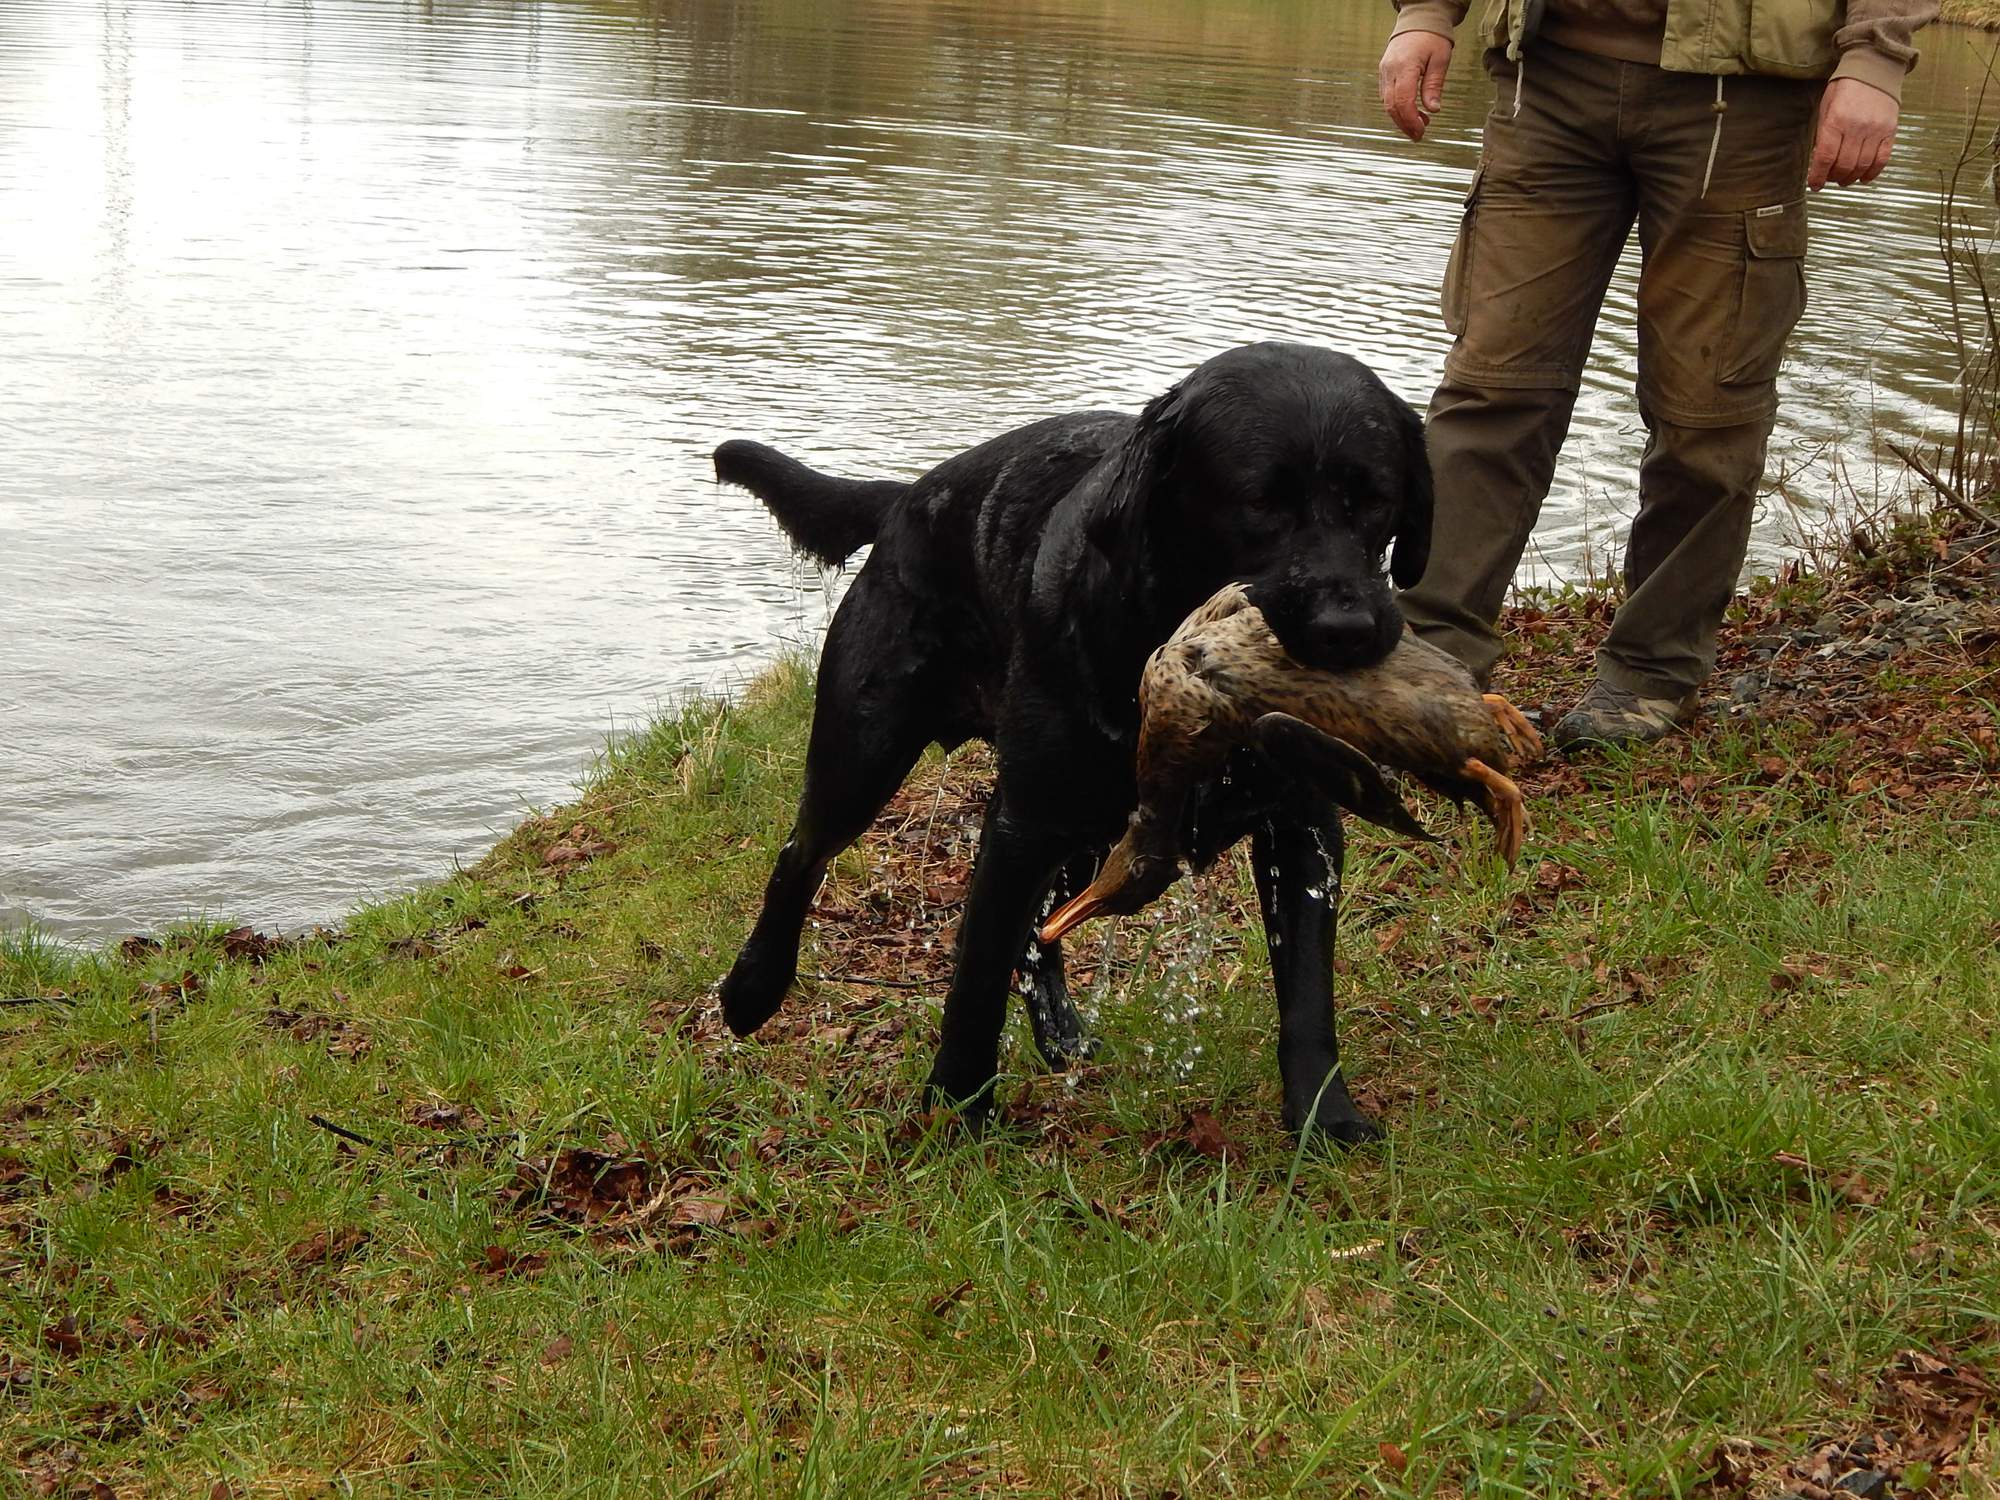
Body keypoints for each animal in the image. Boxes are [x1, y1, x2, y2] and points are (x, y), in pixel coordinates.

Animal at [712, 344, 1432, 1136]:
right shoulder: (1021, 824)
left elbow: (1307, 991)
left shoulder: (1302, 824)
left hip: (1090, 833)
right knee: (800, 857)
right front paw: (957, 1111)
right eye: (1259, 503)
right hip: (865, 755)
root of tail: (908, 498)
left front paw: (1323, 1117)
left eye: (1376, 499)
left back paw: (1059, 1031)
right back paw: (751, 989)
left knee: (1041, 933)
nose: (1348, 630)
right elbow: (976, 979)